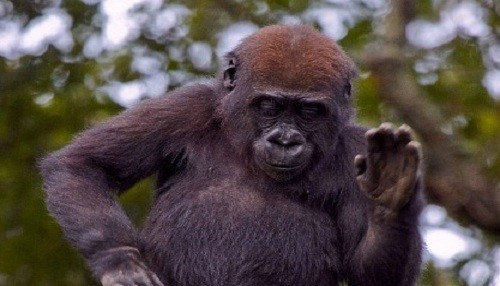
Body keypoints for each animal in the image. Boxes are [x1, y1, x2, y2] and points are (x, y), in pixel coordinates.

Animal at [39, 25, 424, 286]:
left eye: (309, 112)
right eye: (269, 107)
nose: (285, 141)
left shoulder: (354, 147)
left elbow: (368, 275)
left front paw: (389, 200)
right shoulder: (186, 108)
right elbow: (85, 166)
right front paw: (119, 261)